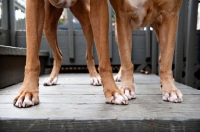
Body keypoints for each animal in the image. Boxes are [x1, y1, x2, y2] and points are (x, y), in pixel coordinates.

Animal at [13, 0, 183, 107]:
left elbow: (166, 60)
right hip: (48, 25)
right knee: (59, 54)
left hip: (88, 23)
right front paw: (27, 92)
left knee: (90, 54)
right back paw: (52, 78)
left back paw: (96, 77)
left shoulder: (170, 15)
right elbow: (32, 58)